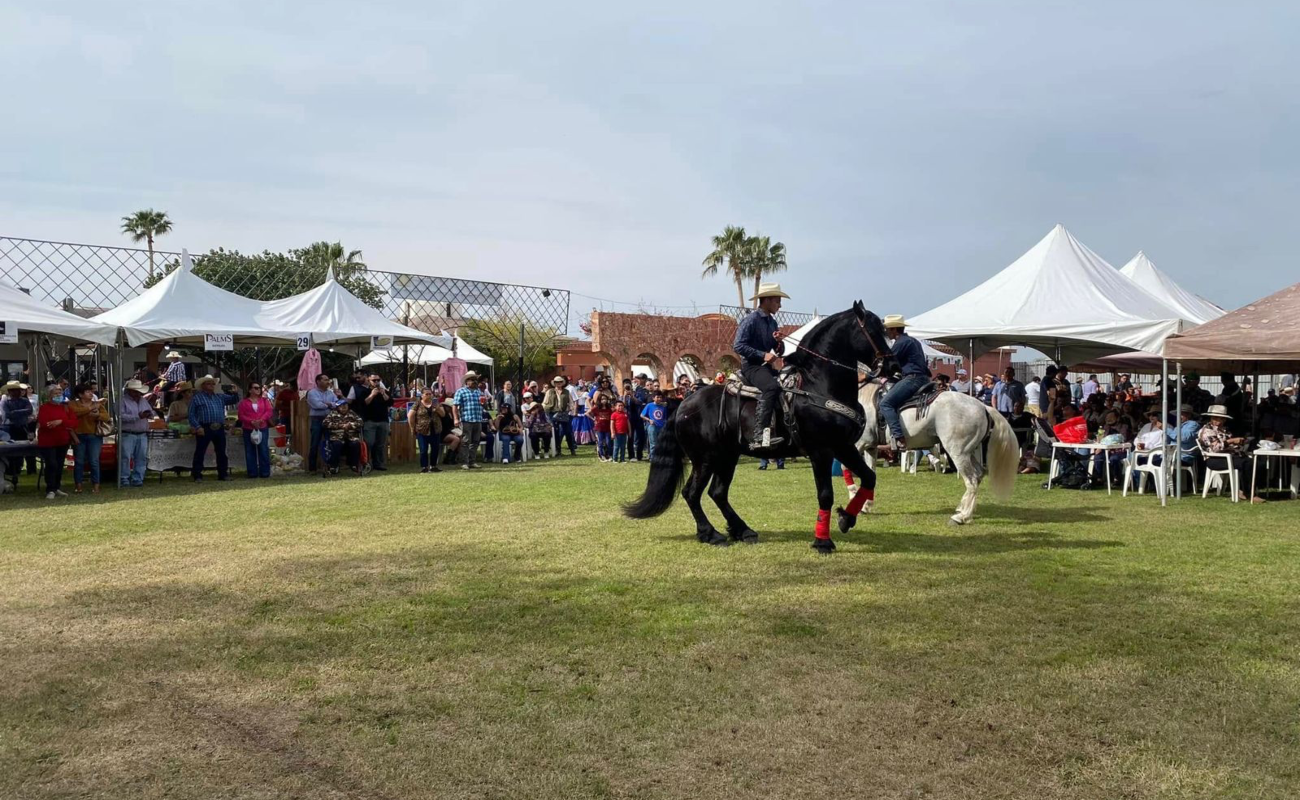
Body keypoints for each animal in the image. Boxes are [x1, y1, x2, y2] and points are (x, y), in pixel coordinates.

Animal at [626, 303, 894, 554]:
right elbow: (825, 495)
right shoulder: (822, 451)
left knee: (718, 492)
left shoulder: (844, 446)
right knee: (692, 493)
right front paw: (823, 541)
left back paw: (742, 530)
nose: (893, 364)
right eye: (872, 330)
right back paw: (710, 534)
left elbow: (869, 478)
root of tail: (683, 405)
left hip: (727, 456)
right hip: (705, 459)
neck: (820, 386)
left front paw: (846, 518)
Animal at [852, 382, 1024, 525]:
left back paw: (961, 517)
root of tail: (982, 406)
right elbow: (870, 475)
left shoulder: (858, 445)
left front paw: (854, 496)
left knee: (972, 481)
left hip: (958, 453)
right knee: (979, 475)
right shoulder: (870, 448)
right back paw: (964, 509)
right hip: (969, 452)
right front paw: (865, 506)